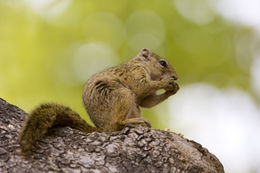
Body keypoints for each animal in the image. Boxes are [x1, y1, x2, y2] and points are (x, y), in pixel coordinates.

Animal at [18, 48, 179, 154]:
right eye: (163, 63)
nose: (175, 77)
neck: (145, 67)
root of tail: (103, 128)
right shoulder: (135, 72)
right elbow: (142, 86)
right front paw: (167, 82)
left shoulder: (145, 96)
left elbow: (147, 102)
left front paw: (173, 89)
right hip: (122, 95)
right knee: (118, 121)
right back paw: (133, 122)